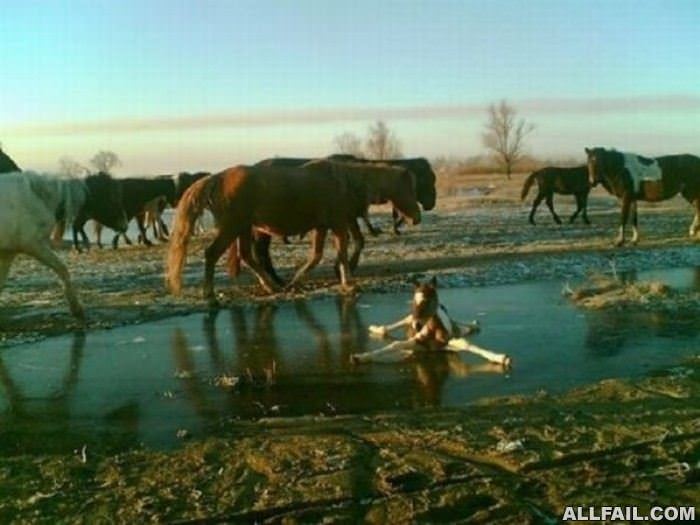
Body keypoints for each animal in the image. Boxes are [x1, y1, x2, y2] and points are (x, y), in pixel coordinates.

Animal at [0, 172, 127, 320]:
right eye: (112, 196)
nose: (124, 225)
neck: (37, 197)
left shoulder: (8, 253)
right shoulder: (34, 246)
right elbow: (62, 269)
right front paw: (76, 309)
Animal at [168, 159, 422, 302]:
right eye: (409, 187)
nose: (417, 217)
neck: (344, 181)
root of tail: (217, 178)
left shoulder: (322, 227)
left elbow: (316, 256)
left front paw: (297, 281)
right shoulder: (339, 224)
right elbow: (341, 253)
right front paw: (348, 281)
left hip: (243, 228)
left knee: (247, 256)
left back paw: (271, 286)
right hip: (233, 227)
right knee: (212, 254)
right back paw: (210, 295)